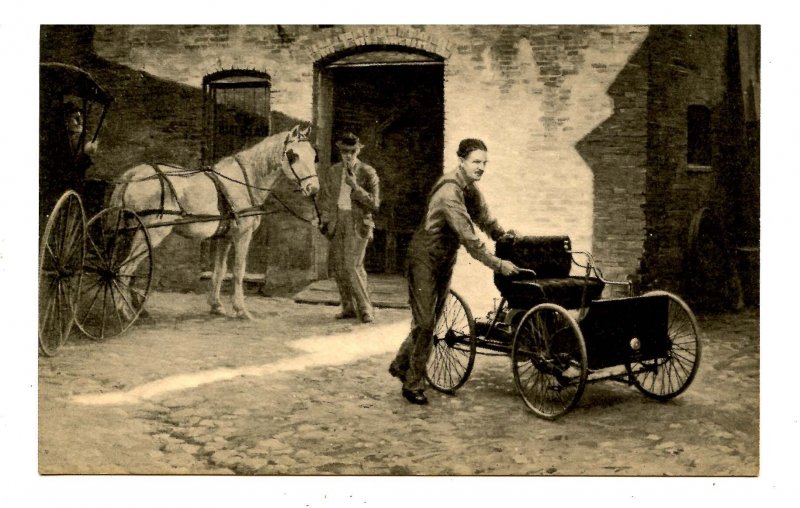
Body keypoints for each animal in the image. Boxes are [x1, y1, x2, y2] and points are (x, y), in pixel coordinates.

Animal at [110, 125, 322, 320]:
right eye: (293, 155)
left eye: (313, 155)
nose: (312, 188)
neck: (244, 179)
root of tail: (135, 174)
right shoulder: (242, 234)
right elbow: (238, 271)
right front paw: (241, 310)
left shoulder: (224, 237)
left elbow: (220, 270)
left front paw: (216, 306)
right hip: (151, 233)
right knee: (124, 270)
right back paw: (125, 313)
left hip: (132, 231)